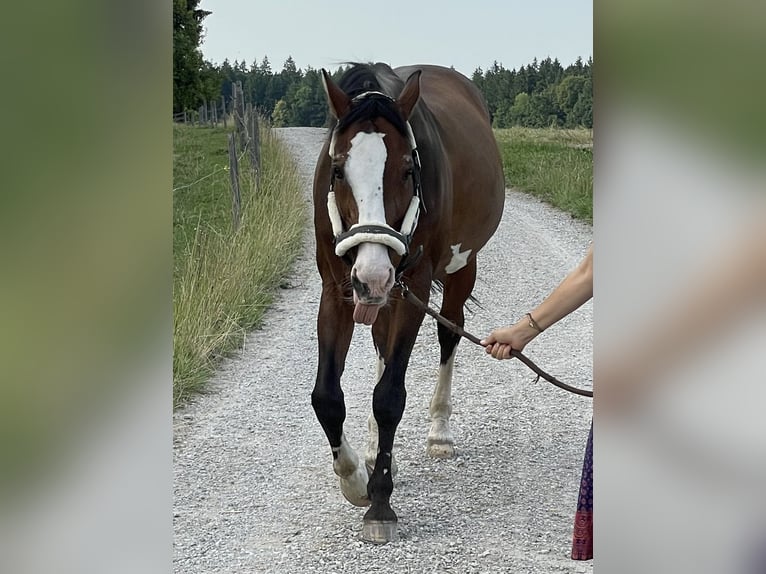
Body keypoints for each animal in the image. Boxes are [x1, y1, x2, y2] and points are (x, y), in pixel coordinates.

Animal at [308, 62, 508, 544]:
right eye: (337, 170)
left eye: (405, 170)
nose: (373, 274)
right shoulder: (336, 290)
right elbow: (327, 396)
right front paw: (355, 478)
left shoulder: (412, 287)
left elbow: (390, 396)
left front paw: (379, 503)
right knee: (381, 344)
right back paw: (372, 448)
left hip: (455, 271)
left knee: (449, 334)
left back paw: (439, 433)